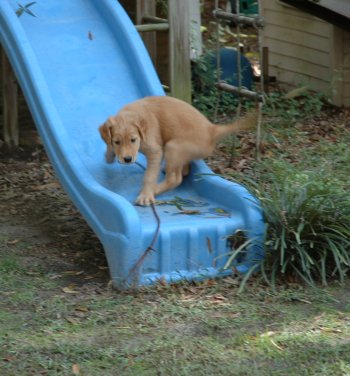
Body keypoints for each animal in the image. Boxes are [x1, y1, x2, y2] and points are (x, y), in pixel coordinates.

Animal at [98, 95, 254, 204]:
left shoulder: (156, 151)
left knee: (175, 178)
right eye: (117, 142)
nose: (127, 159)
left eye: (133, 140)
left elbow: (149, 176)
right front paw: (109, 155)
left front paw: (146, 195)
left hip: (173, 147)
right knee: (183, 171)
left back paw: (155, 189)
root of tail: (212, 130)